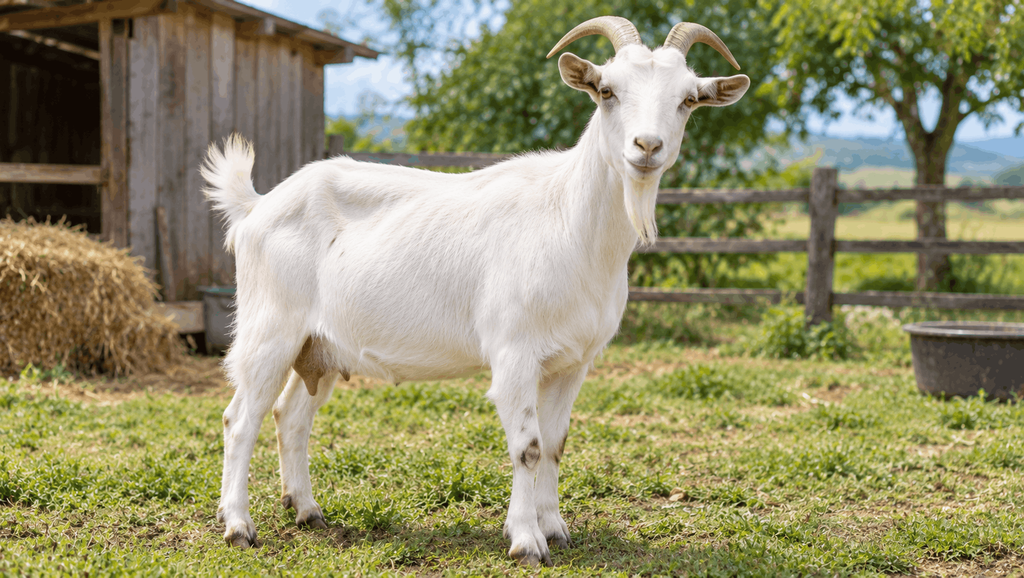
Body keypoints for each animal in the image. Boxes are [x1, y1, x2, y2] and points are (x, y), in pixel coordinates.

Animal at [203, 15, 749, 566]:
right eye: (607, 91)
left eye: (687, 99)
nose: (647, 147)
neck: (568, 222)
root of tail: (256, 206)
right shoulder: (514, 353)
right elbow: (528, 447)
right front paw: (526, 540)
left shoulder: (574, 362)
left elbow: (555, 445)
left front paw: (556, 529)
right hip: (270, 330)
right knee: (240, 419)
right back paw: (238, 525)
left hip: (319, 347)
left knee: (290, 416)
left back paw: (307, 510)